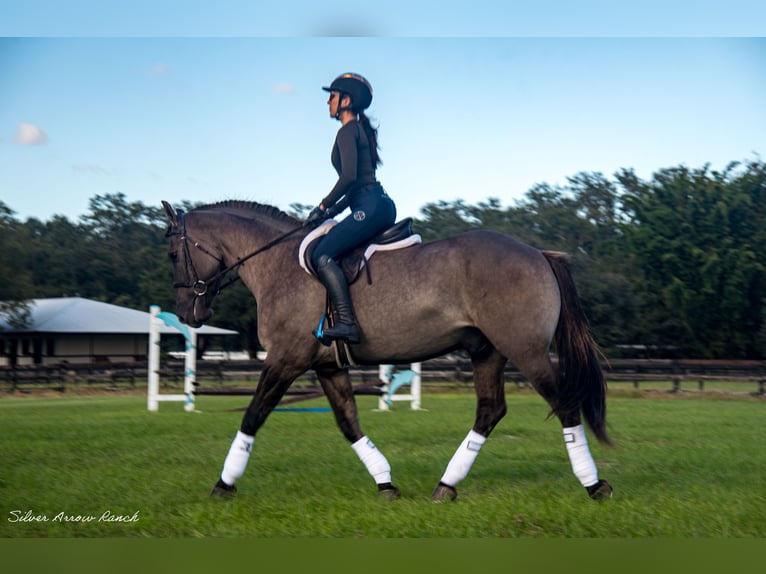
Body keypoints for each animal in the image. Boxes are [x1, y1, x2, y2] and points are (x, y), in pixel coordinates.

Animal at [164, 200, 616, 502]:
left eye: (172, 254)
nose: (187, 313)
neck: (277, 265)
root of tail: (537, 253)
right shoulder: (327, 367)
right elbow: (348, 423)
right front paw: (385, 482)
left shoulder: (285, 360)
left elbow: (252, 416)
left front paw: (223, 484)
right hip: (487, 352)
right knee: (490, 411)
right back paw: (446, 485)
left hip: (527, 352)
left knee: (564, 405)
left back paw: (594, 484)